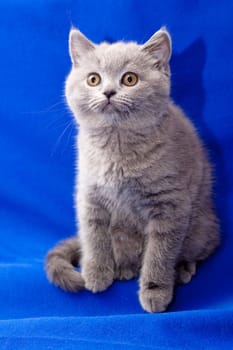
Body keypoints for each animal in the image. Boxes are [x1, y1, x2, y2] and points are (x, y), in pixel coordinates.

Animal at [45, 27, 220, 312]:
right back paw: (124, 269)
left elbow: (159, 254)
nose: (108, 92)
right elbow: (93, 236)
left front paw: (155, 292)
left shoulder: (169, 206)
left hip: (202, 227)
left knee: (196, 251)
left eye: (129, 79)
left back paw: (182, 269)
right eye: (93, 79)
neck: (116, 148)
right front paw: (96, 274)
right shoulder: (89, 194)